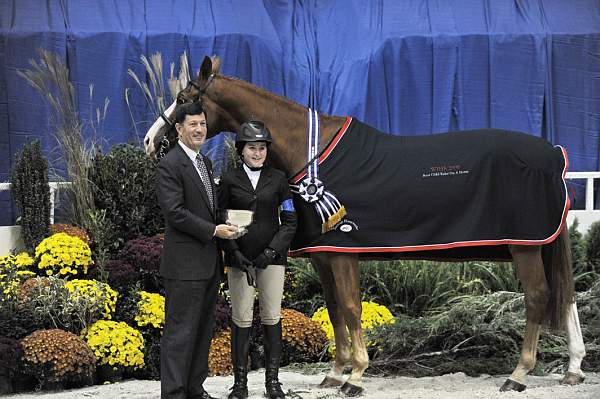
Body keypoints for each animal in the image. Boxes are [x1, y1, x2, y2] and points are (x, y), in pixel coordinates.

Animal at [145, 56, 584, 396]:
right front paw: (335, 372)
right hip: (537, 244)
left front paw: (355, 376)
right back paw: (573, 368)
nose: (151, 142)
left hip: (525, 245)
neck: (313, 152)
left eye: (184, 99)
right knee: (567, 298)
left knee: (539, 298)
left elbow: (353, 307)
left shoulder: (344, 250)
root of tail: (552, 154)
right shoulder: (324, 254)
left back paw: (519, 374)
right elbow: (336, 309)